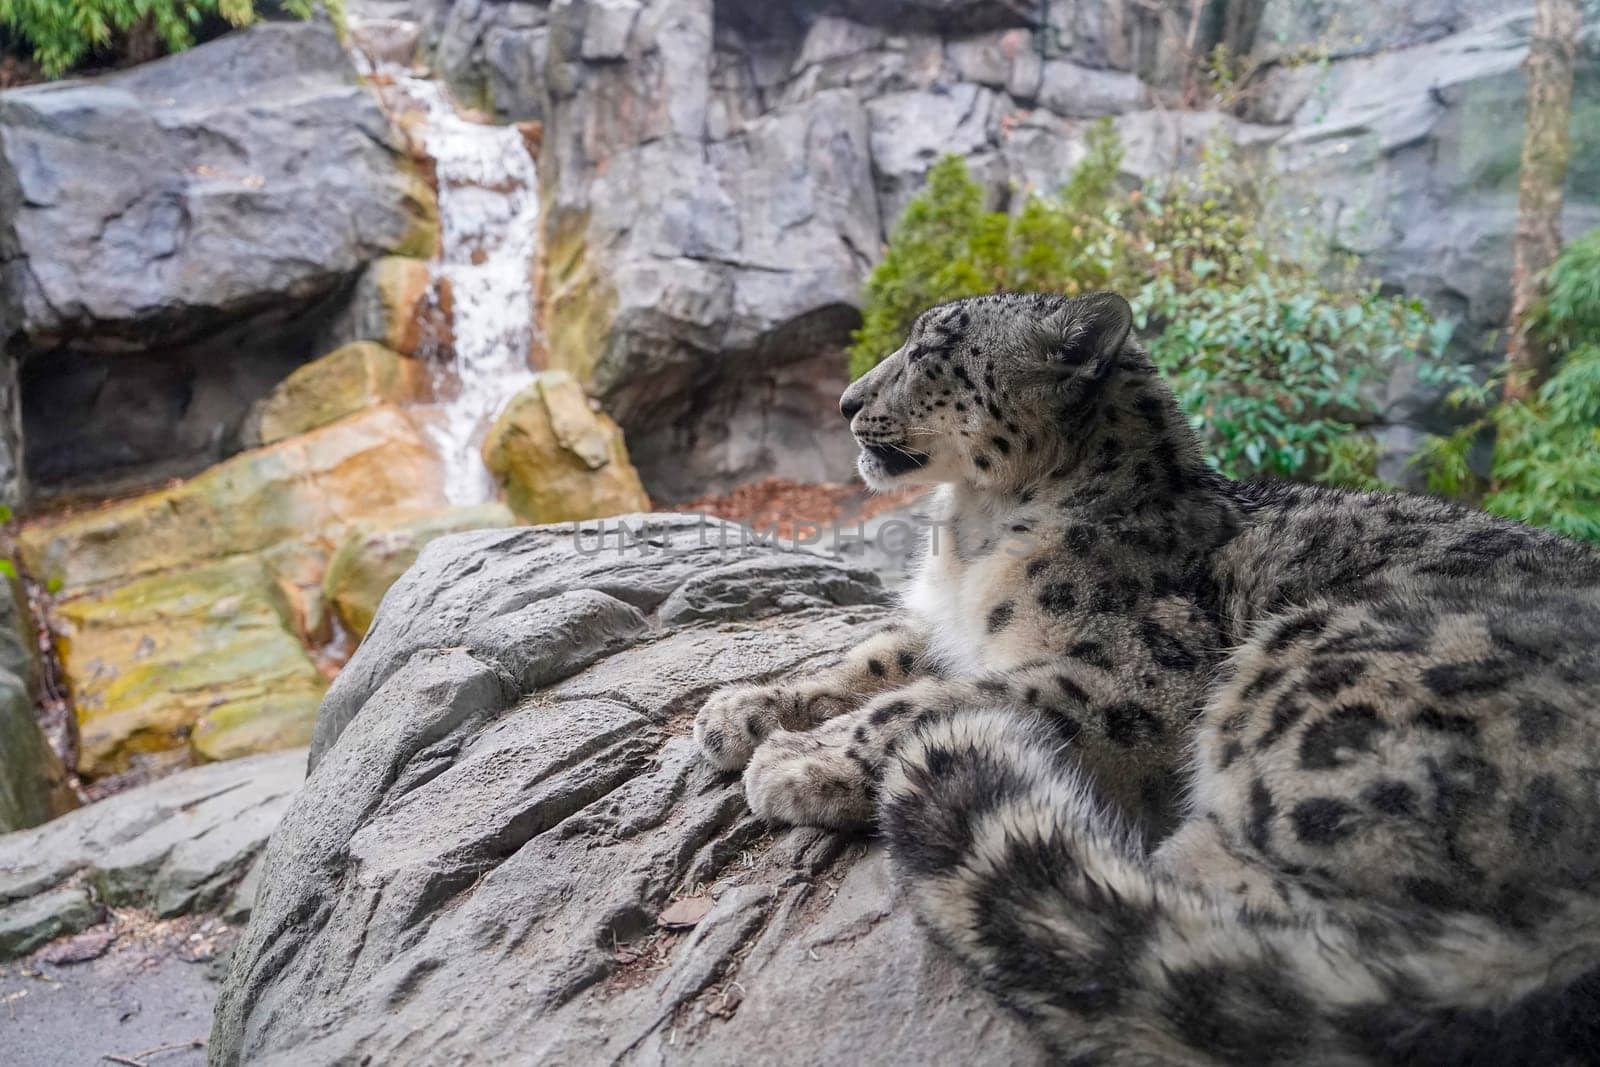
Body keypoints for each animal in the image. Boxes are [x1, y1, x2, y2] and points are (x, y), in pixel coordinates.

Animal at [694, 292, 1600, 1067]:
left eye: (932, 349)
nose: (847, 402)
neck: (973, 537)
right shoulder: (946, 629)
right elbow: (875, 659)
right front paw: (739, 710)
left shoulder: (1136, 678)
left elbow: (935, 698)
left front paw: (799, 761)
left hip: (1319, 673)